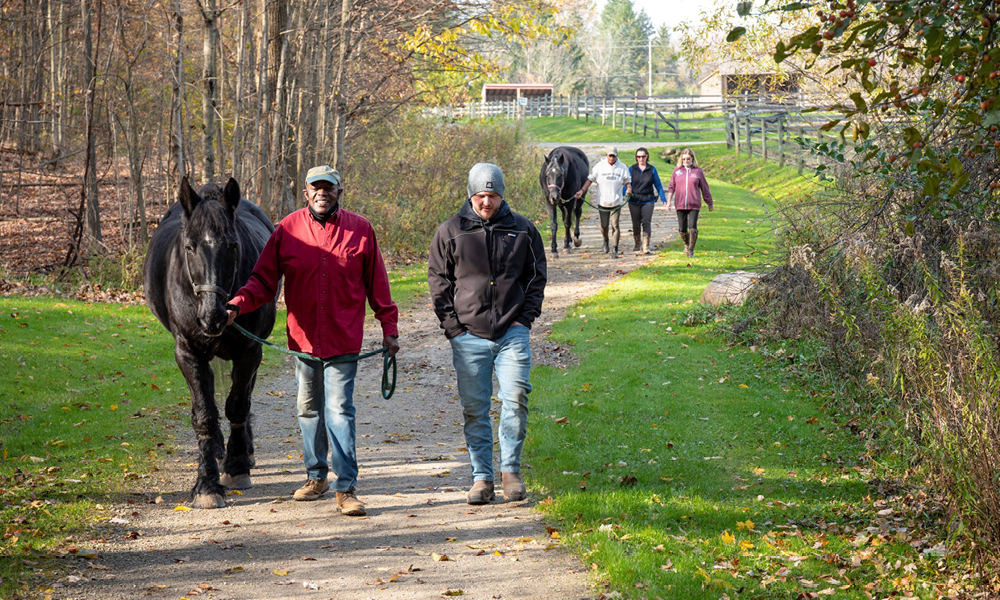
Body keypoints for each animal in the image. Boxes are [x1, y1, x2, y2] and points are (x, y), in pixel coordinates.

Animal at [143, 177, 277, 509]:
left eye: (232, 245)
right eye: (189, 247)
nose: (212, 317)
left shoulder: (250, 351)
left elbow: (238, 405)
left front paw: (237, 467)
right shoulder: (189, 353)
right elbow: (204, 414)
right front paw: (207, 484)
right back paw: (217, 449)